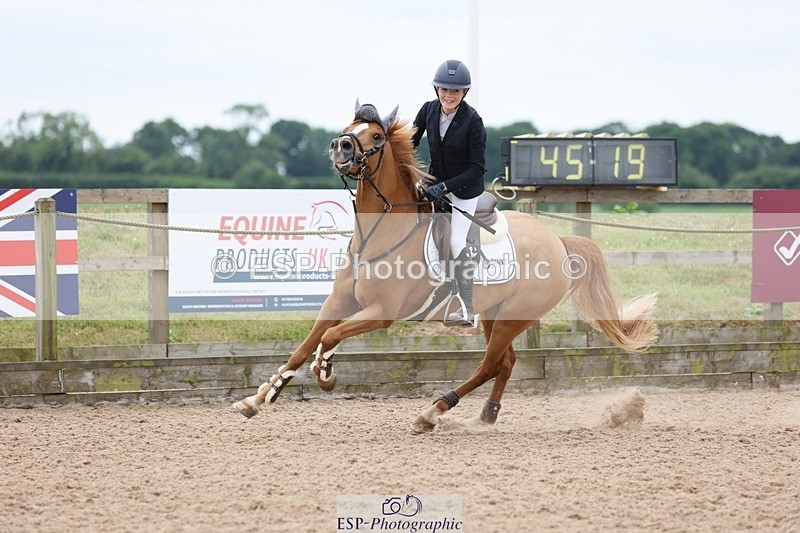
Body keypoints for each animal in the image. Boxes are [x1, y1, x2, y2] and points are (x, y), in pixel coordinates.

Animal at [232, 102, 658, 432]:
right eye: (349, 129)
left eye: (377, 137)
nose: (340, 146)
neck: (378, 234)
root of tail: (558, 242)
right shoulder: (339, 302)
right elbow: (305, 344)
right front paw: (260, 397)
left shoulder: (382, 313)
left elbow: (330, 338)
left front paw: (326, 373)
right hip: (493, 314)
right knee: (505, 363)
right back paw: (485, 416)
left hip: (513, 317)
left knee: (489, 365)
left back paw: (432, 412)